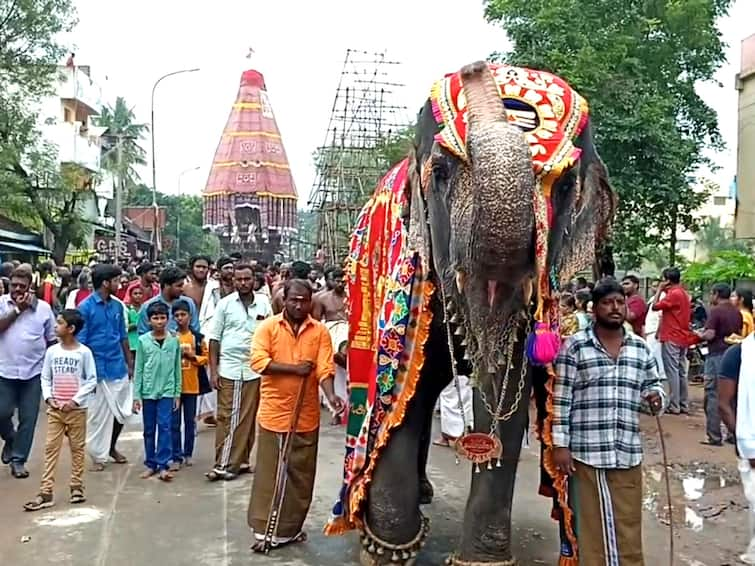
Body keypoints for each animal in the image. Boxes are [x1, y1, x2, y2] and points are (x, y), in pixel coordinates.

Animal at [324, 62, 616, 566]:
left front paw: (482, 559)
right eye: (439, 172)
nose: (475, 68)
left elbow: (507, 391)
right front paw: (384, 553)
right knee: (418, 396)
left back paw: (424, 493)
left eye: (563, 185)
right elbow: (404, 396)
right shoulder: (410, 272)